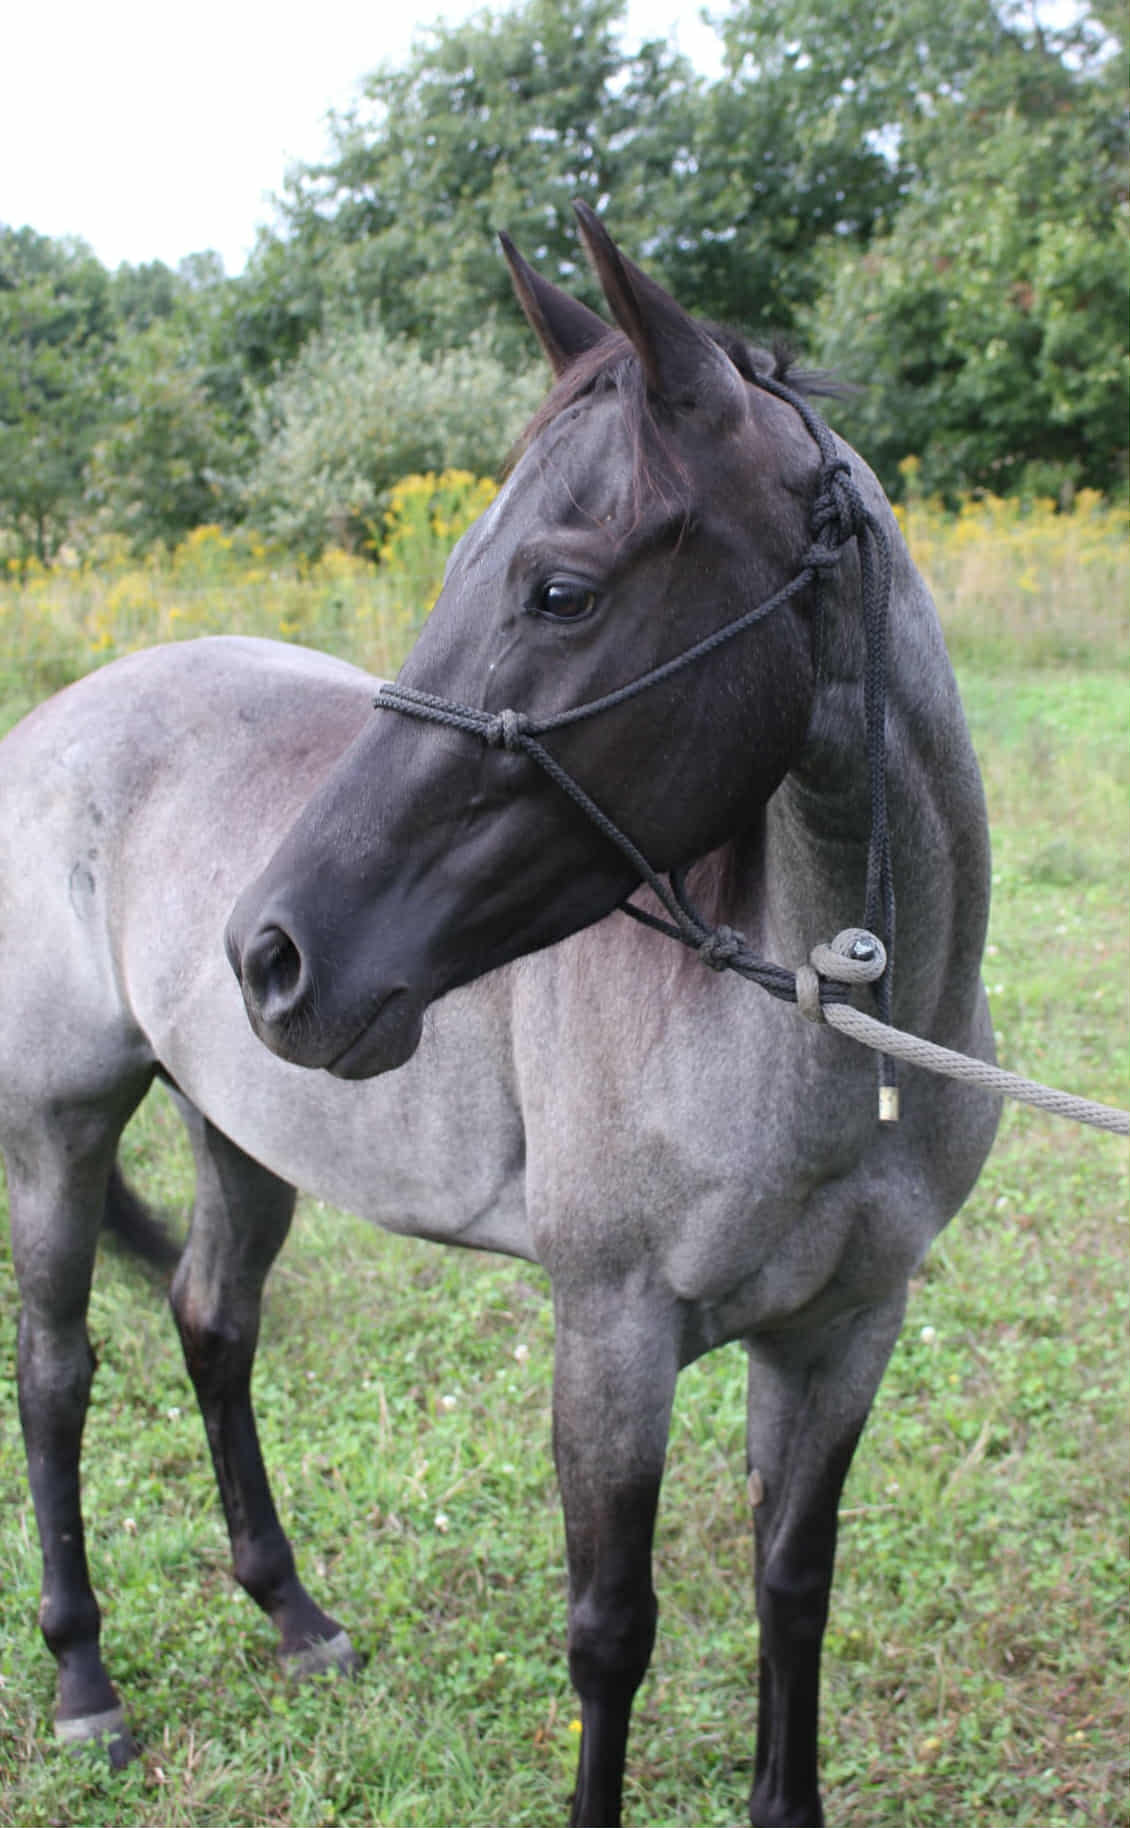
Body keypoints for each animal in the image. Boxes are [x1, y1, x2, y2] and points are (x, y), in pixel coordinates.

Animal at [0, 207, 999, 1827]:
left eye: (559, 591)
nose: (270, 953)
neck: (827, 1046)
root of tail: (57, 722)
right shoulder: (610, 1335)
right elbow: (611, 1635)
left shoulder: (845, 1330)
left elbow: (793, 1587)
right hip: (60, 1124)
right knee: (58, 1375)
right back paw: (86, 1680)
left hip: (244, 1131)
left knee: (214, 1324)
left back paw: (295, 1616)